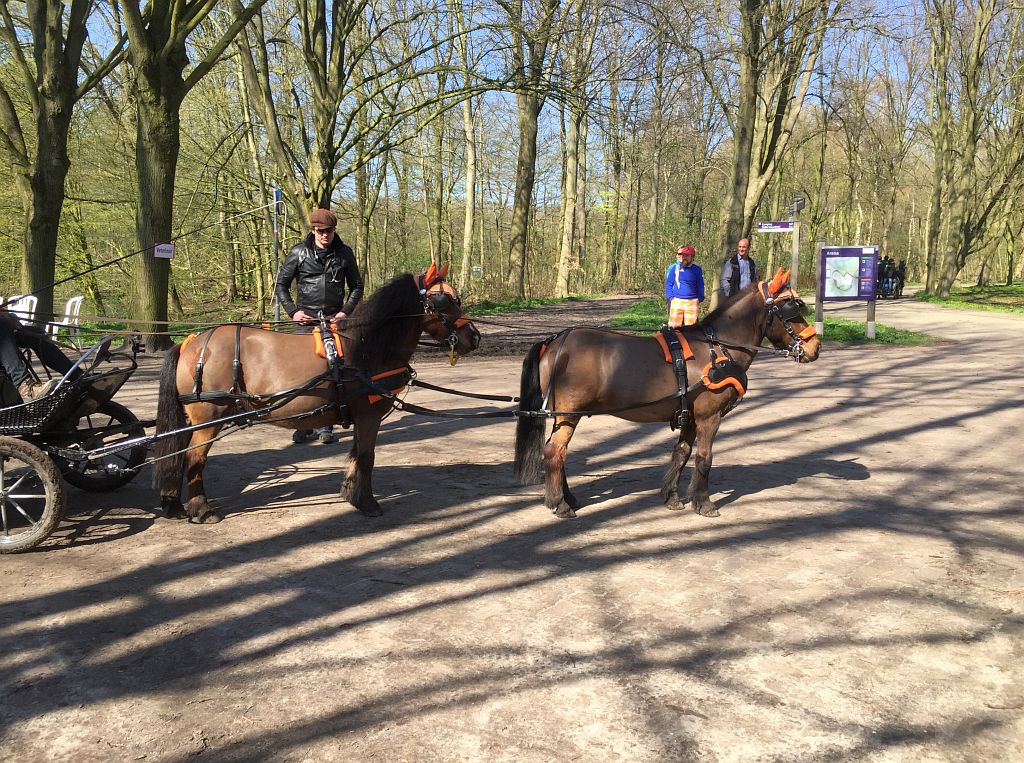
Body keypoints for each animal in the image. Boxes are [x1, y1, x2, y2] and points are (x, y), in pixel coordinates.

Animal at [151, 264, 479, 520]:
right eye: (444, 300)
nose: (473, 337)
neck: (365, 347)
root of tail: (192, 341)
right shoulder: (369, 414)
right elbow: (367, 457)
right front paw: (368, 503)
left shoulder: (360, 416)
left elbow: (356, 454)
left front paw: (352, 494)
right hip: (209, 417)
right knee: (194, 458)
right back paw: (201, 509)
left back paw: (174, 503)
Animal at [516, 268, 819, 518]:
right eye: (790, 308)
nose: (815, 347)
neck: (716, 349)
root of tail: (554, 341)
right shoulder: (709, 417)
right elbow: (704, 459)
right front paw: (704, 502)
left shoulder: (691, 417)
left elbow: (682, 453)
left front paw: (672, 497)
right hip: (570, 414)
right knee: (554, 452)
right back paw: (560, 504)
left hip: (564, 415)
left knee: (558, 452)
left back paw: (568, 497)